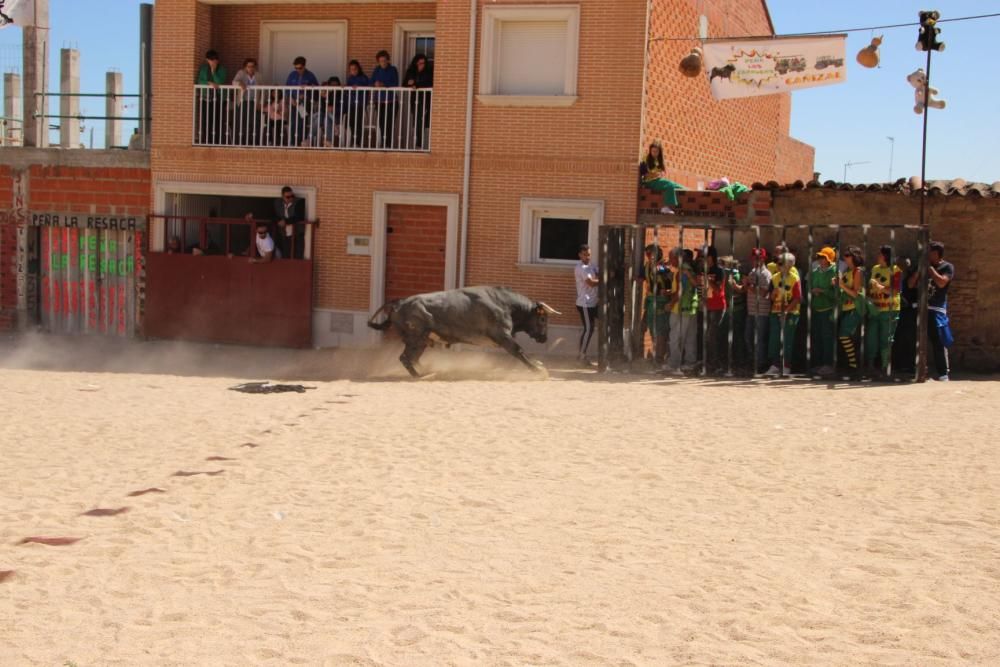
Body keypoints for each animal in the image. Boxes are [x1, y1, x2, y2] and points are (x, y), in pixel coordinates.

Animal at [366, 288, 560, 378]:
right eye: (543, 319)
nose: (544, 338)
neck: (506, 305)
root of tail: (398, 303)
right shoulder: (503, 336)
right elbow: (518, 351)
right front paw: (538, 369)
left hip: (421, 341)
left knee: (412, 358)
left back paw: (426, 371)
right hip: (416, 338)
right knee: (406, 358)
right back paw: (421, 375)